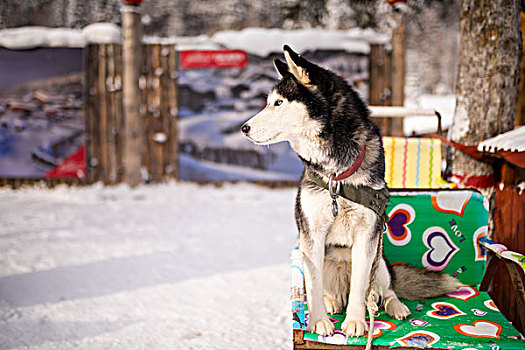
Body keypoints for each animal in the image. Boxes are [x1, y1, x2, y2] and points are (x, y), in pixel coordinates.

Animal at [241, 46, 458, 336]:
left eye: (278, 103)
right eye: (269, 102)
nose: (244, 128)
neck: (337, 174)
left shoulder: (368, 236)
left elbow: (359, 287)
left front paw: (355, 321)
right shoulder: (312, 235)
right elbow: (314, 286)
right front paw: (318, 321)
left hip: (380, 261)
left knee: (384, 290)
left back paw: (394, 305)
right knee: (330, 290)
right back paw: (332, 302)